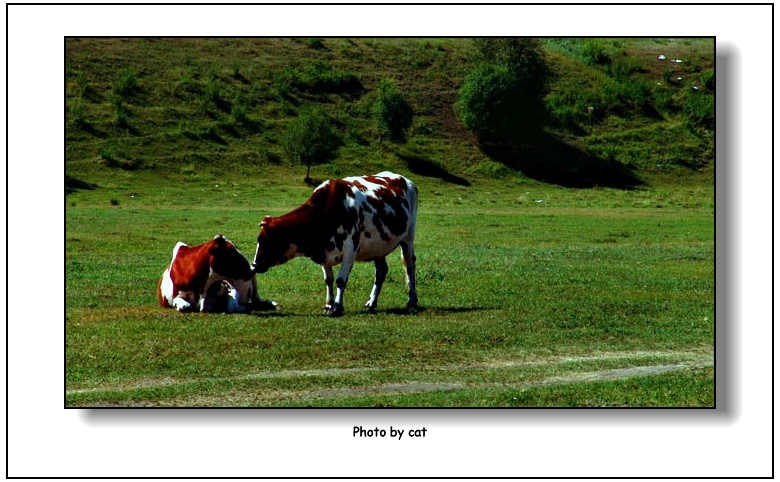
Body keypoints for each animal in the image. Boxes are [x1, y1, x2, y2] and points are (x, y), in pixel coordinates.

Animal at [253, 170, 418, 316]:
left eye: (266, 241)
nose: (254, 265)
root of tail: (406, 180)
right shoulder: (324, 252)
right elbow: (329, 280)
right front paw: (328, 305)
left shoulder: (350, 249)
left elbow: (340, 280)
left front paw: (337, 307)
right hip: (378, 247)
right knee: (381, 271)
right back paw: (371, 303)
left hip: (408, 238)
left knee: (409, 267)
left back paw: (412, 301)